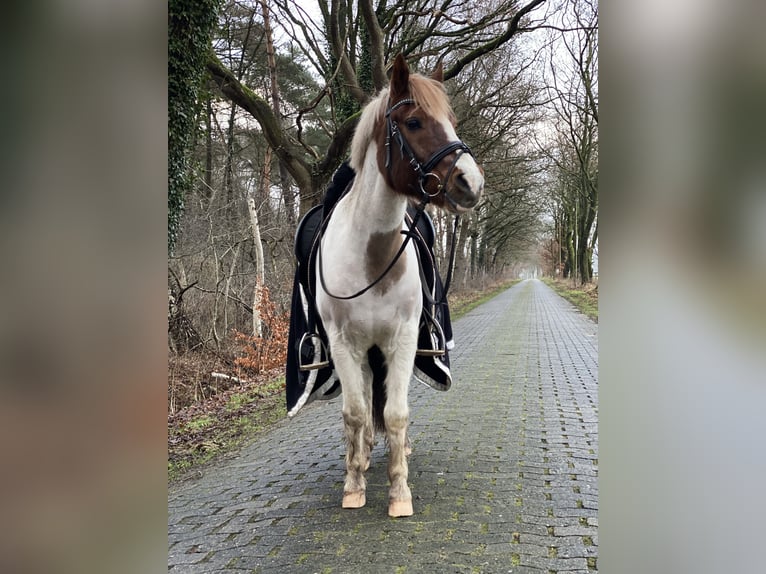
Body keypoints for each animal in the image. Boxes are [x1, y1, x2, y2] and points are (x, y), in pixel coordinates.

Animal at [316, 54, 484, 520]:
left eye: (452, 120)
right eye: (413, 122)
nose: (471, 182)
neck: (371, 261)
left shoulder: (404, 339)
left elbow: (395, 413)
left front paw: (399, 491)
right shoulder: (344, 344)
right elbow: (355, 413)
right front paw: (354, 484)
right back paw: (362, 455)